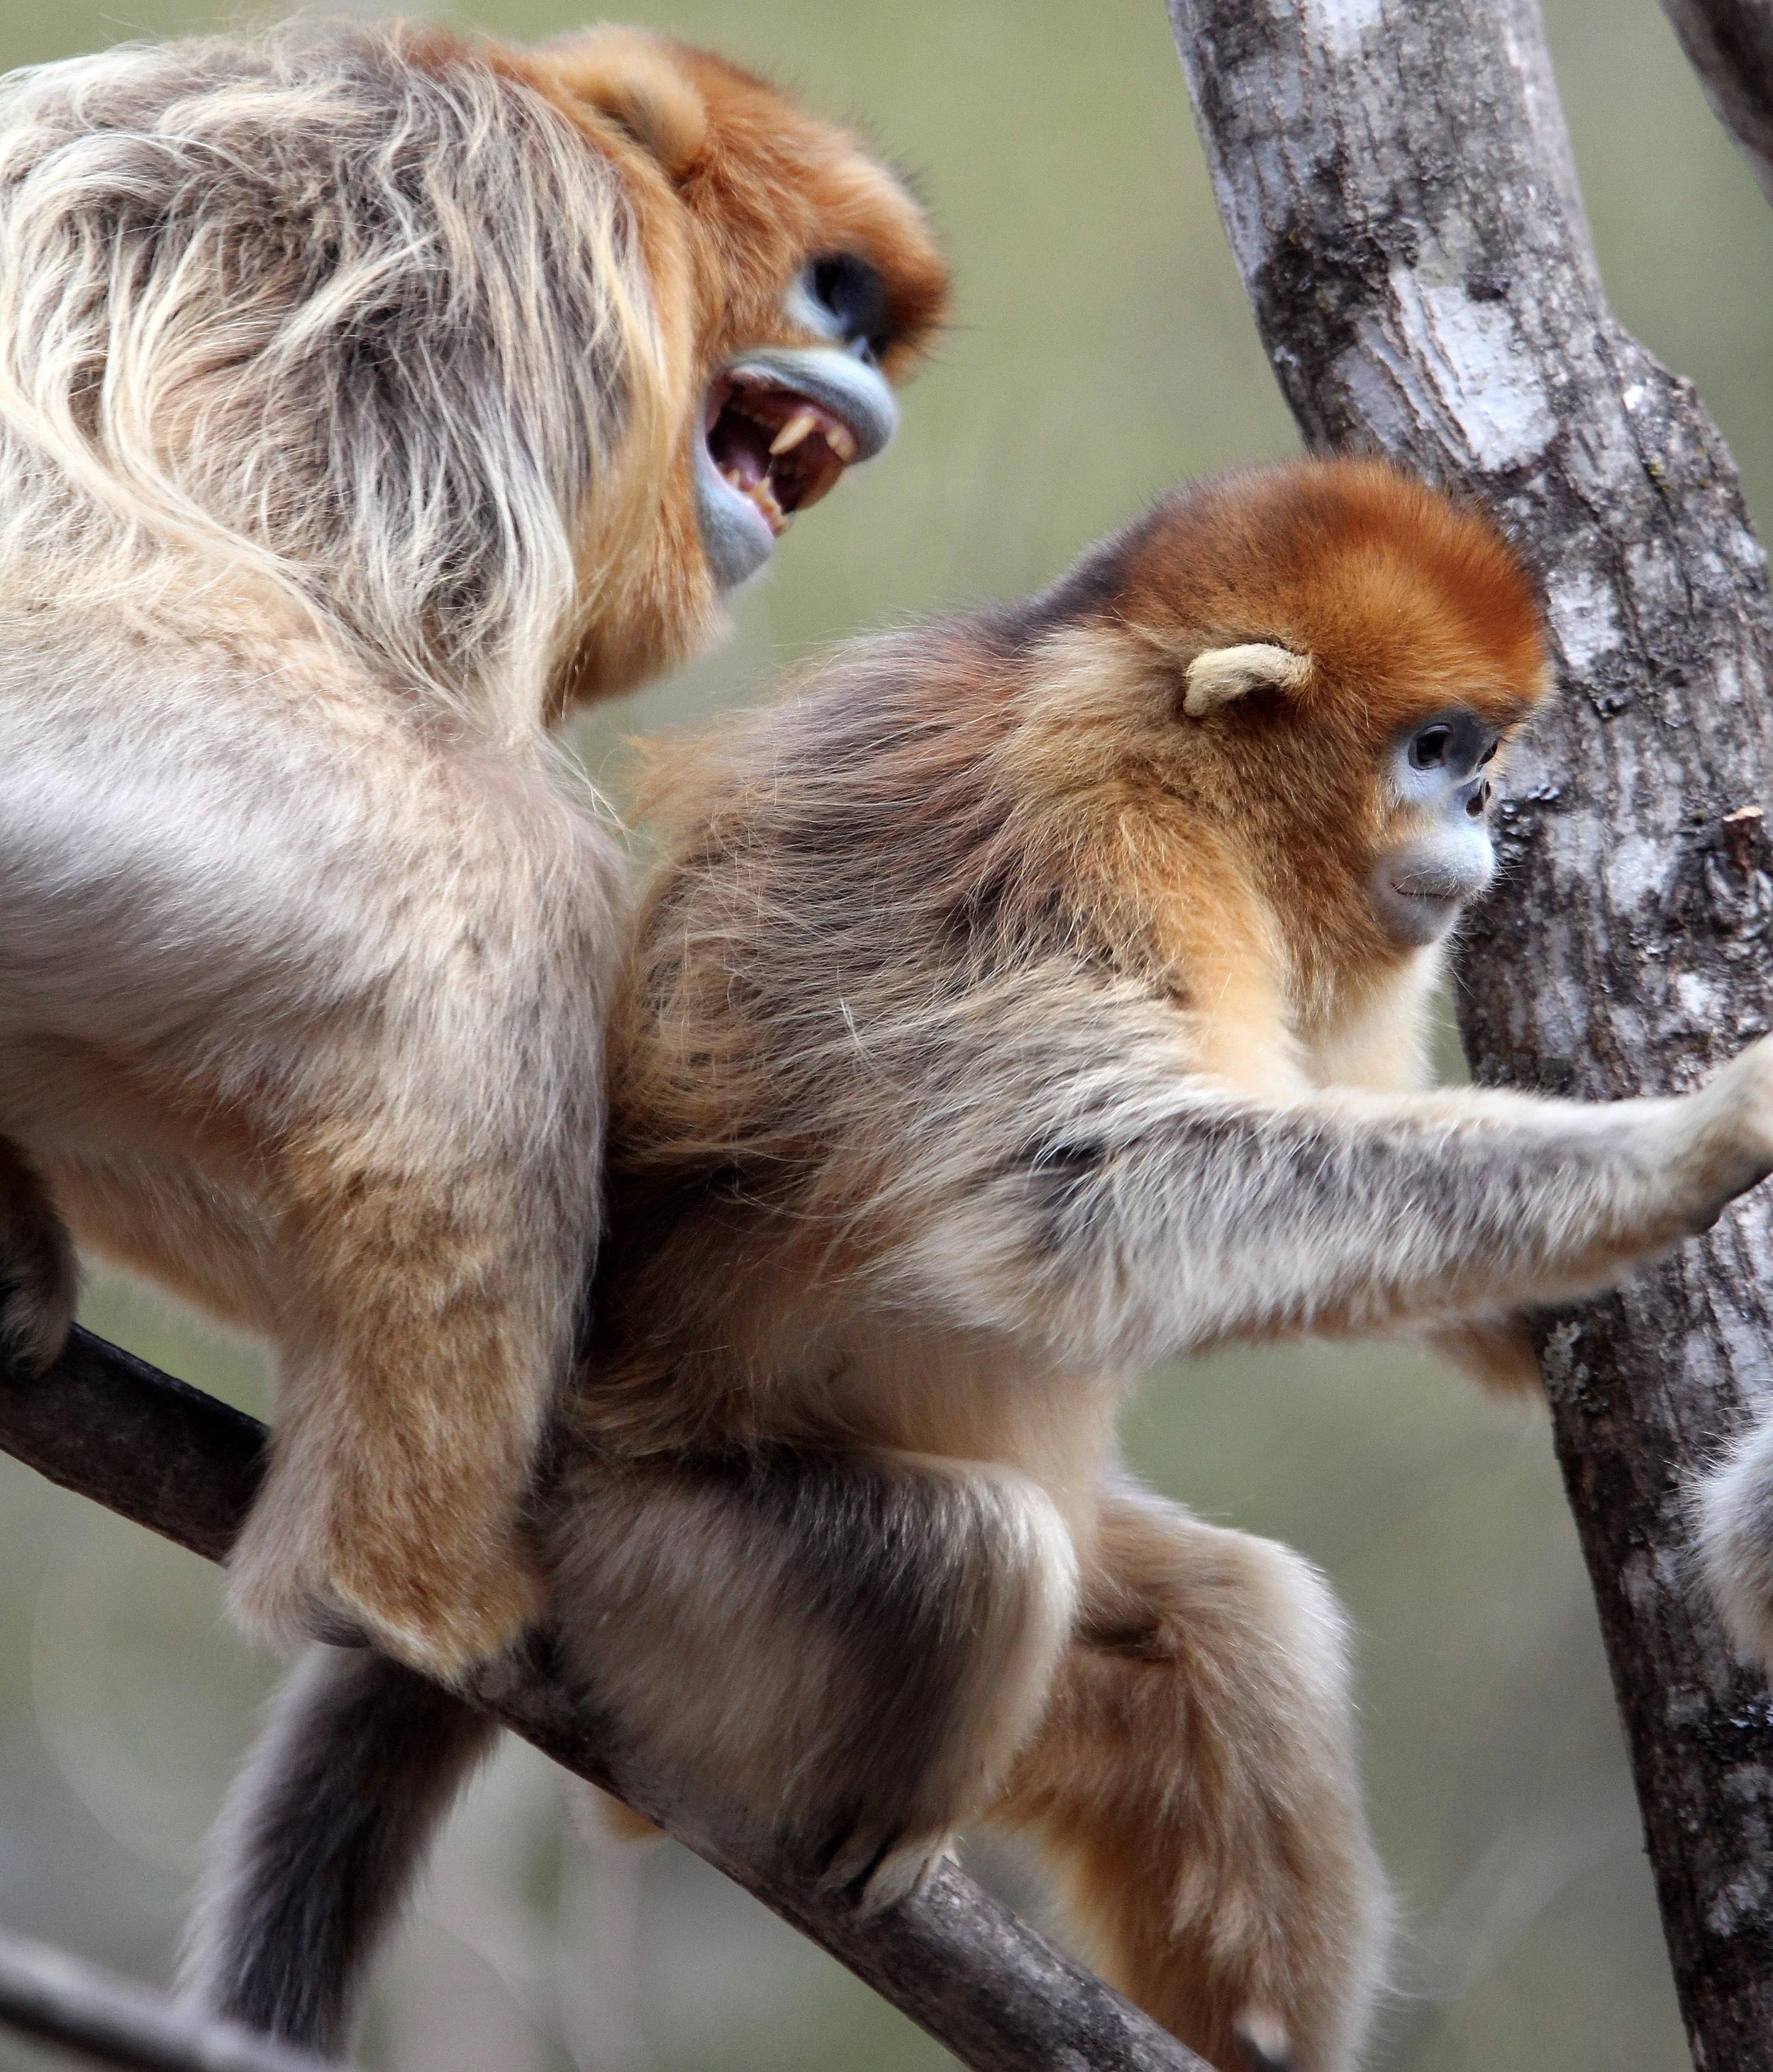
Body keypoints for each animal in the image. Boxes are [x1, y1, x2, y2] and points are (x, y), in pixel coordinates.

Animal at [190, 456, 1773, 2070]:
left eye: (1478, 754)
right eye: (1435, 748)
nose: (1486, 811)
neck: (1151, 739)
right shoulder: (1086, 848)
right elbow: (1084, 1198)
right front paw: (1691, 1143)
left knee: (1234, 1622)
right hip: (626, 1574)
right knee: (978, 1551)